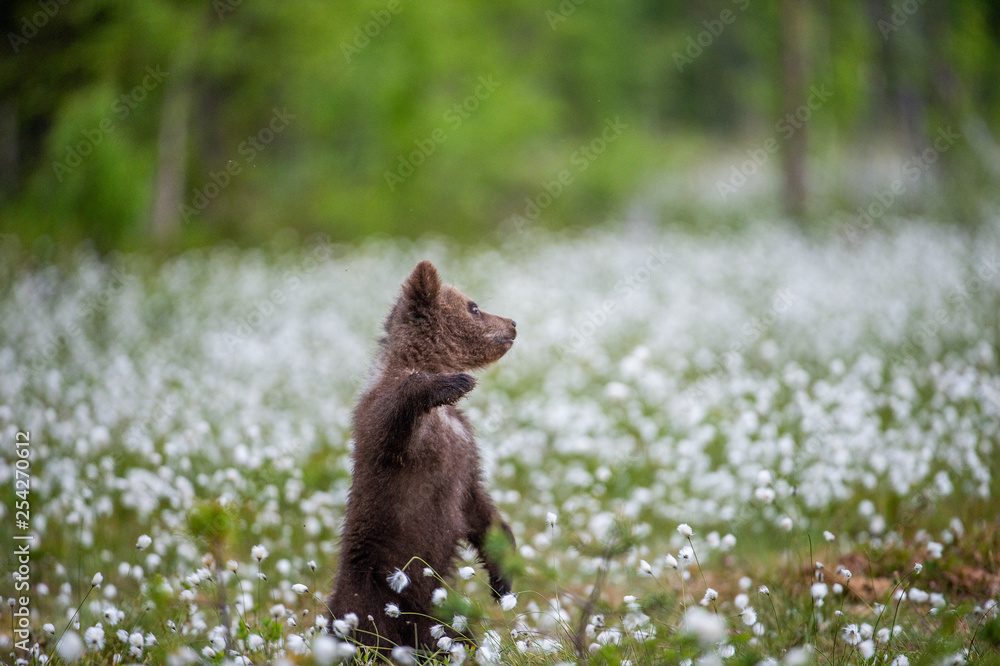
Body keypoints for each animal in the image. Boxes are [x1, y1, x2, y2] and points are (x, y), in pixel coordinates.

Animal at [326, 260, 518, 653]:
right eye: (474, 307)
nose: (512, 323)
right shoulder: (393, 434)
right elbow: (391, 417)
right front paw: (451, 383)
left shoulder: (463, 451)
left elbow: (477, 504)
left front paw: (502, 576)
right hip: (370, 596)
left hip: (438, 611)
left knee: (453, 636)